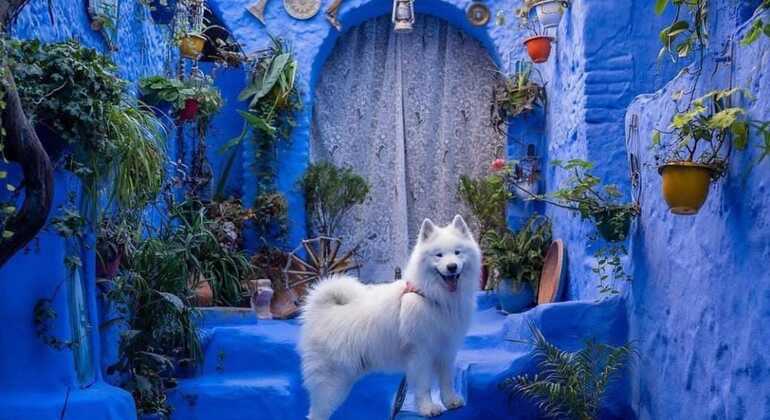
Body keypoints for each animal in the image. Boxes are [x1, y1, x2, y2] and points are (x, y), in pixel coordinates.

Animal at [298, 217, 480, 420]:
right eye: (438, 255)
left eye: (457, 252)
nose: (452, 267)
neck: (432, 296)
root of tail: (321, 310)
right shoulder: (421, 353)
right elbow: (424, 386)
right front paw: (428, 408)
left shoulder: (446, 349)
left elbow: (446, 380)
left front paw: (451, 401)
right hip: (331, 381)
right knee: (316, 413)